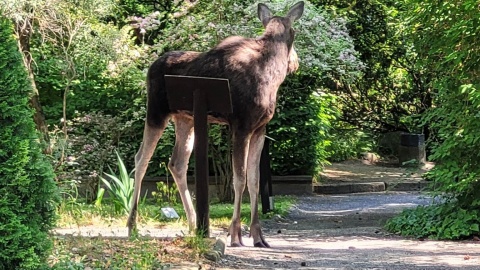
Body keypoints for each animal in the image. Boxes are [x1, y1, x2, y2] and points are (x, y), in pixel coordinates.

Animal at [128, 1, 304, 248]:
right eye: (294, 33)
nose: (296, 62)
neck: (272, 73)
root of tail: (150, 68)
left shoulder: (259, 129)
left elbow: (255, 181)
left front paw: (259, 236)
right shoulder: (241, 125)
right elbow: (239, 179)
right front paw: (235, 234)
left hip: (186, 119)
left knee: (177, 163)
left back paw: (194, 224)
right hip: (156, 112)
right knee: (141, 159)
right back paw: (132, 225)